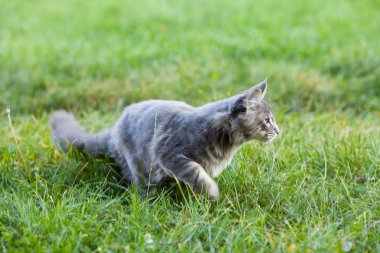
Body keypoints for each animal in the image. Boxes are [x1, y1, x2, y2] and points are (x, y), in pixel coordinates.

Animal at [50, 81, 280, 200]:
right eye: (267, 121)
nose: (278, 131)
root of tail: (113, 128)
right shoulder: (169, 153)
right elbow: (197, 173)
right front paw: (213, 193)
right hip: (139, 164)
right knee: (141, 184)